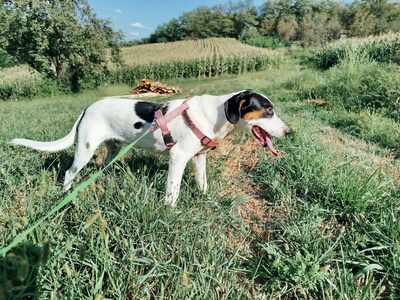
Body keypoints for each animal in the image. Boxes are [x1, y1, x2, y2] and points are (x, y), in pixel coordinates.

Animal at [10, 89, 290, 206]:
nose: (289, 132)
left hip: (111, 150)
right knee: (68, 172)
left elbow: (202, 184)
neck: (214, 115)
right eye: (268, 111)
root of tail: (87, 108)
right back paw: (66, 195)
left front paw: (206, 199)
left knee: (102, 167)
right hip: (85, 150)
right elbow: (173, 191)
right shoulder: (178, 157)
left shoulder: (199, 158)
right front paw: (170, 211)